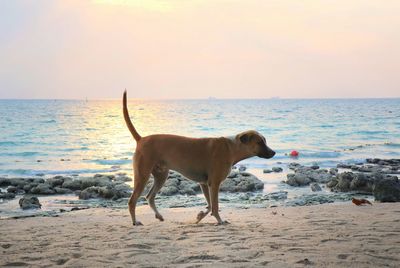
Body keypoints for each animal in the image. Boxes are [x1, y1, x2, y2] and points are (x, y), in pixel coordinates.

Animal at [123, 91, 276, 225]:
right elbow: (215, 206)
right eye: (260, 142)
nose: (273, 152)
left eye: (264, 140)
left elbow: (210, 206)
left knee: (150, 197)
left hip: (161, 175)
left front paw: (200, 216)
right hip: (142, 175)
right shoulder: (214, 183)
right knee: (132, 201)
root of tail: (141, 139)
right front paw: (219, 221)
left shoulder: (204, 184)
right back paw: (135, 221)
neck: (231, 147)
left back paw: (159, 216)